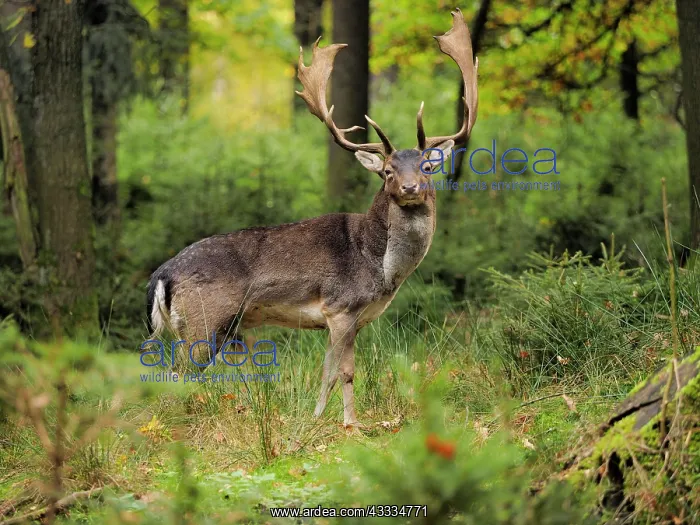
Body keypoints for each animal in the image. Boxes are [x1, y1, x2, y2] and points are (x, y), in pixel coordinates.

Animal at [145, 8, 478, 427]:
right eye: (387, 171)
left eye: (427, 167)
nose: (409, 187)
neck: (381, 268)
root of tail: (161, 275)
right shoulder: (340, 307)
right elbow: (340, 371)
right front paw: (343, 423)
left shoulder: (351, 318)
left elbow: (338, 372)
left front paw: (334, 419)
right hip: (203, 321)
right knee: (175, 375)